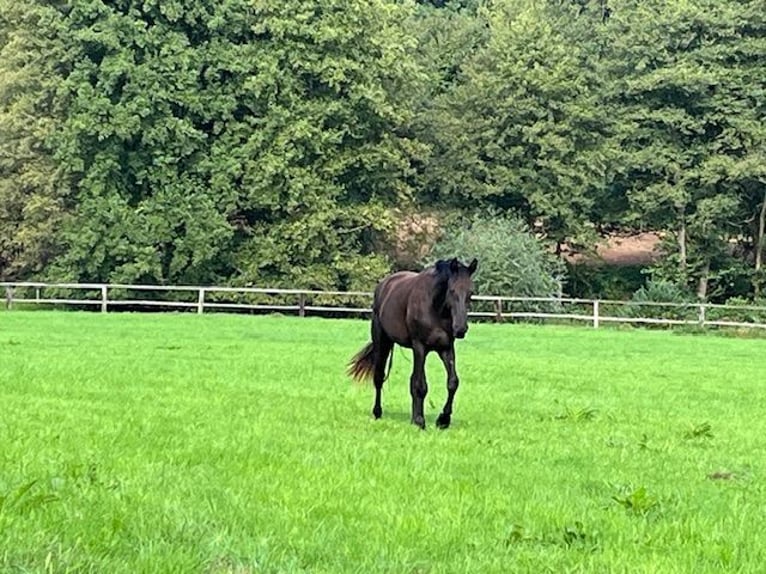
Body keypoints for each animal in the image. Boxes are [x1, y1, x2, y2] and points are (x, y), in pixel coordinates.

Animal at [350, 258, 480, 430]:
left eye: (470, 293)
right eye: (452, 290)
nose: (460, 329)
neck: (434, 308)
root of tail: (383, 285)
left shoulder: (446, 348)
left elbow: (452, 382)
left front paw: (443, 419)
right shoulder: (420, 347)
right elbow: (420, 385)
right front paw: (419, 420)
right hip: (382, 342)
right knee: (379, 376)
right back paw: (377, 412)